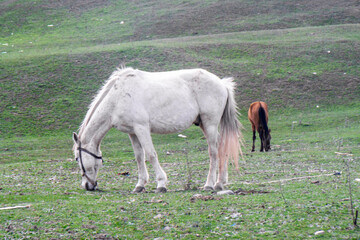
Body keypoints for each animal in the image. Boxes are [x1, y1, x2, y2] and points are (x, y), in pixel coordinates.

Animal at [72, 66, 245, 192]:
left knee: (214, 152)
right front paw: (140, 185)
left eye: (76, 158)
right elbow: (139, 157)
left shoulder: (141, 128)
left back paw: (210, 184)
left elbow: (151, 154)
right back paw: (220, 182)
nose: (87, 186)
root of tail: (222, 83)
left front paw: (161, 183)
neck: (118, 97)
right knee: (222, 148)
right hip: (204, 124)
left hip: (210, 124)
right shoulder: (132, 132)